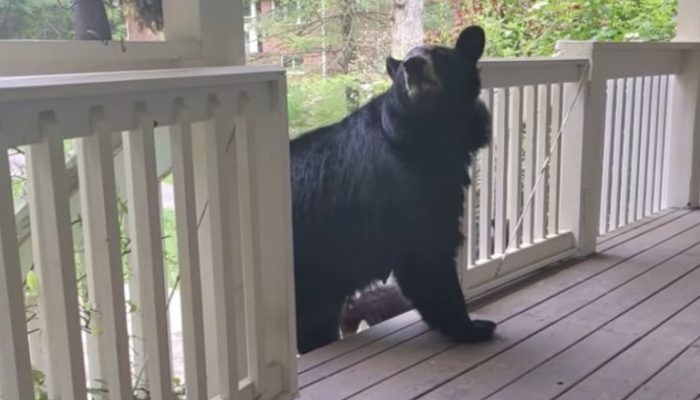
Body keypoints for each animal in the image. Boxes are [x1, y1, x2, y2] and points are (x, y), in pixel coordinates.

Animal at [290, 25, 495, 354]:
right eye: (402, 66)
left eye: (439, 53)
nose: (413, 65)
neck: (429, 130)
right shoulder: (405, 194)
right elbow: (426, 255)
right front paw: (471, 327)